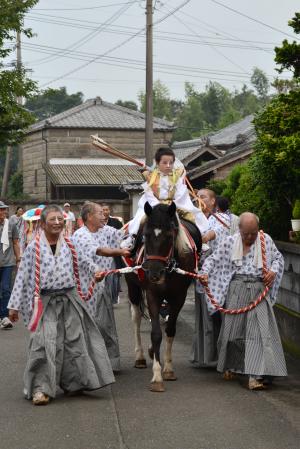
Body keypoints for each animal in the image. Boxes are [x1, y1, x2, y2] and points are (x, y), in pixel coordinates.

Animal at [125, 201, 200, 390]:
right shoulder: (153, 294)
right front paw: (157, 376)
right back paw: (140, 357)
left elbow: (170, 329)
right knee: (136, 318)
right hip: (132, 287)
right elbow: (156, 333)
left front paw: (168, 369)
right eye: (145, 236)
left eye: (169, 236)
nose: (154, 273)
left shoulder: (179, 296)